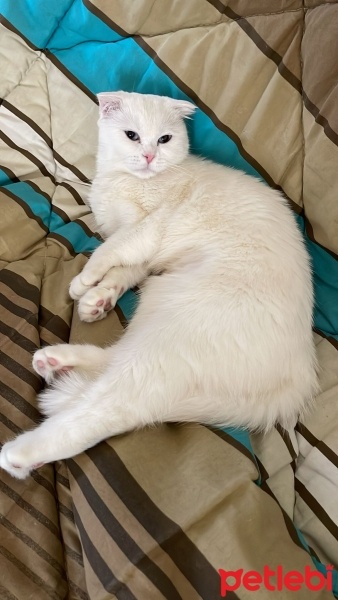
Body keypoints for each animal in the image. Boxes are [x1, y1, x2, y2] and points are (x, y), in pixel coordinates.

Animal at [0, 92, 318, 478]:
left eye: (164, 139)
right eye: (132, 136)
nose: (151, 155)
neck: (123, 179)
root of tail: (294, 384)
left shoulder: (145, 231)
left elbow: (108, 252)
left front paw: (84, 282)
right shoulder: (144, 255)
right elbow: (123, 271)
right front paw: (98, 300)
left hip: (166, 343)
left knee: (110, 406)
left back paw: (21, 454)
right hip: (157, 309)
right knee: (112, 363)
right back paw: (56, 360)